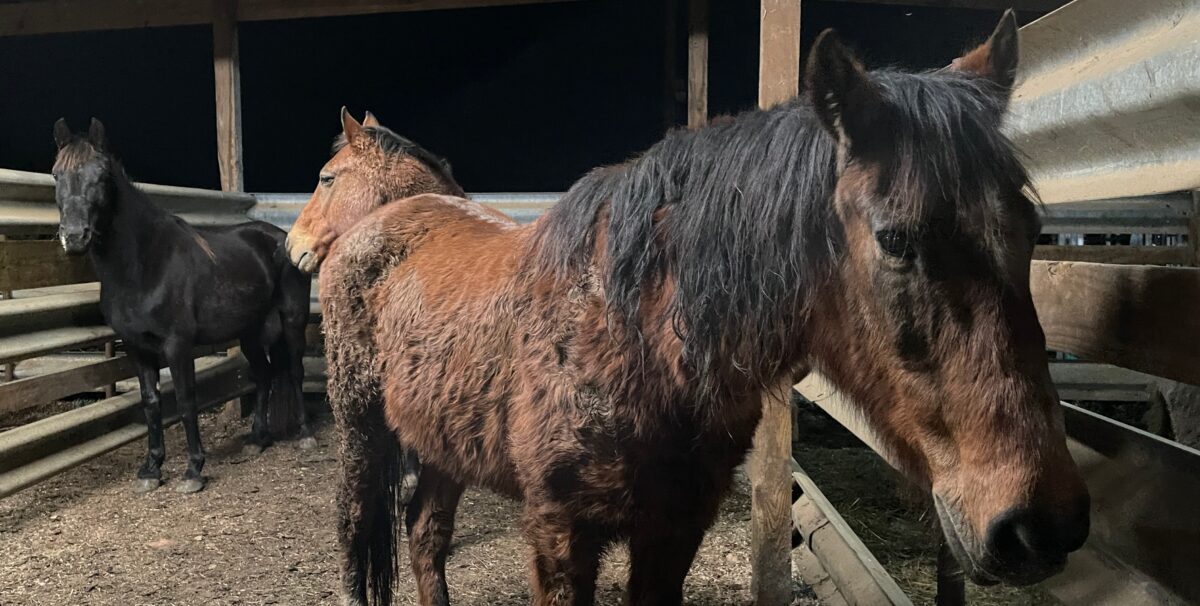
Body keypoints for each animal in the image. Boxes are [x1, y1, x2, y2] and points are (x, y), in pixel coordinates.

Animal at [52, 118, 314, 494]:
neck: (144, 265)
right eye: (56, 175)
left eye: (101, 175)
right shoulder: (136, 347)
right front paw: (151, 469)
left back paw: (305, 436)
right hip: (250, 331)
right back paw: (257, 440)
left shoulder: (178, 346)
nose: (74, 237)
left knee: (294, 370)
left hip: (293, 320)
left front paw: (193, 470)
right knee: (264, 375)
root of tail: (281, 238)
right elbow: (151, 403)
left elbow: (186, 400)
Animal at [288, 14, 1089, 606]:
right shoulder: (558, 531)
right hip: (362, 428)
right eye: (895, 238)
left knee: (425, 535)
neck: (632, 331)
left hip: (442, 441)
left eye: (1031, 230)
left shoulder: (675, 528)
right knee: (357, 535)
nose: (1040, 525)